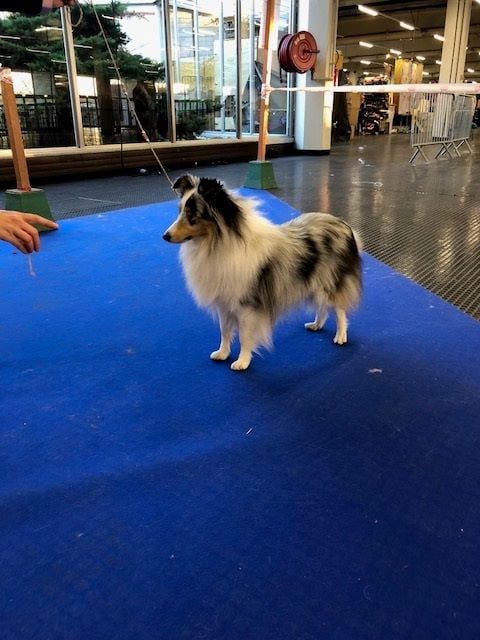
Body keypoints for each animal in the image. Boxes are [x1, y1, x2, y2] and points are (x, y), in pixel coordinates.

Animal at [163, 174, 362, 371]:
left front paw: (242, 362)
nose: (165, 236)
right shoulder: (224, 302)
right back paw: (316, 325)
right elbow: (224, 331)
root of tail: (345, 225)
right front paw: (222, 354)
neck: (217, 243)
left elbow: (244, 336)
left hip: (330, 282)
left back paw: (341, 336)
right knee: (323, 307)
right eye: (179, 212)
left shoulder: (246, 306)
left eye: (192, 216)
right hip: (314, 282)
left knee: (339, 309)